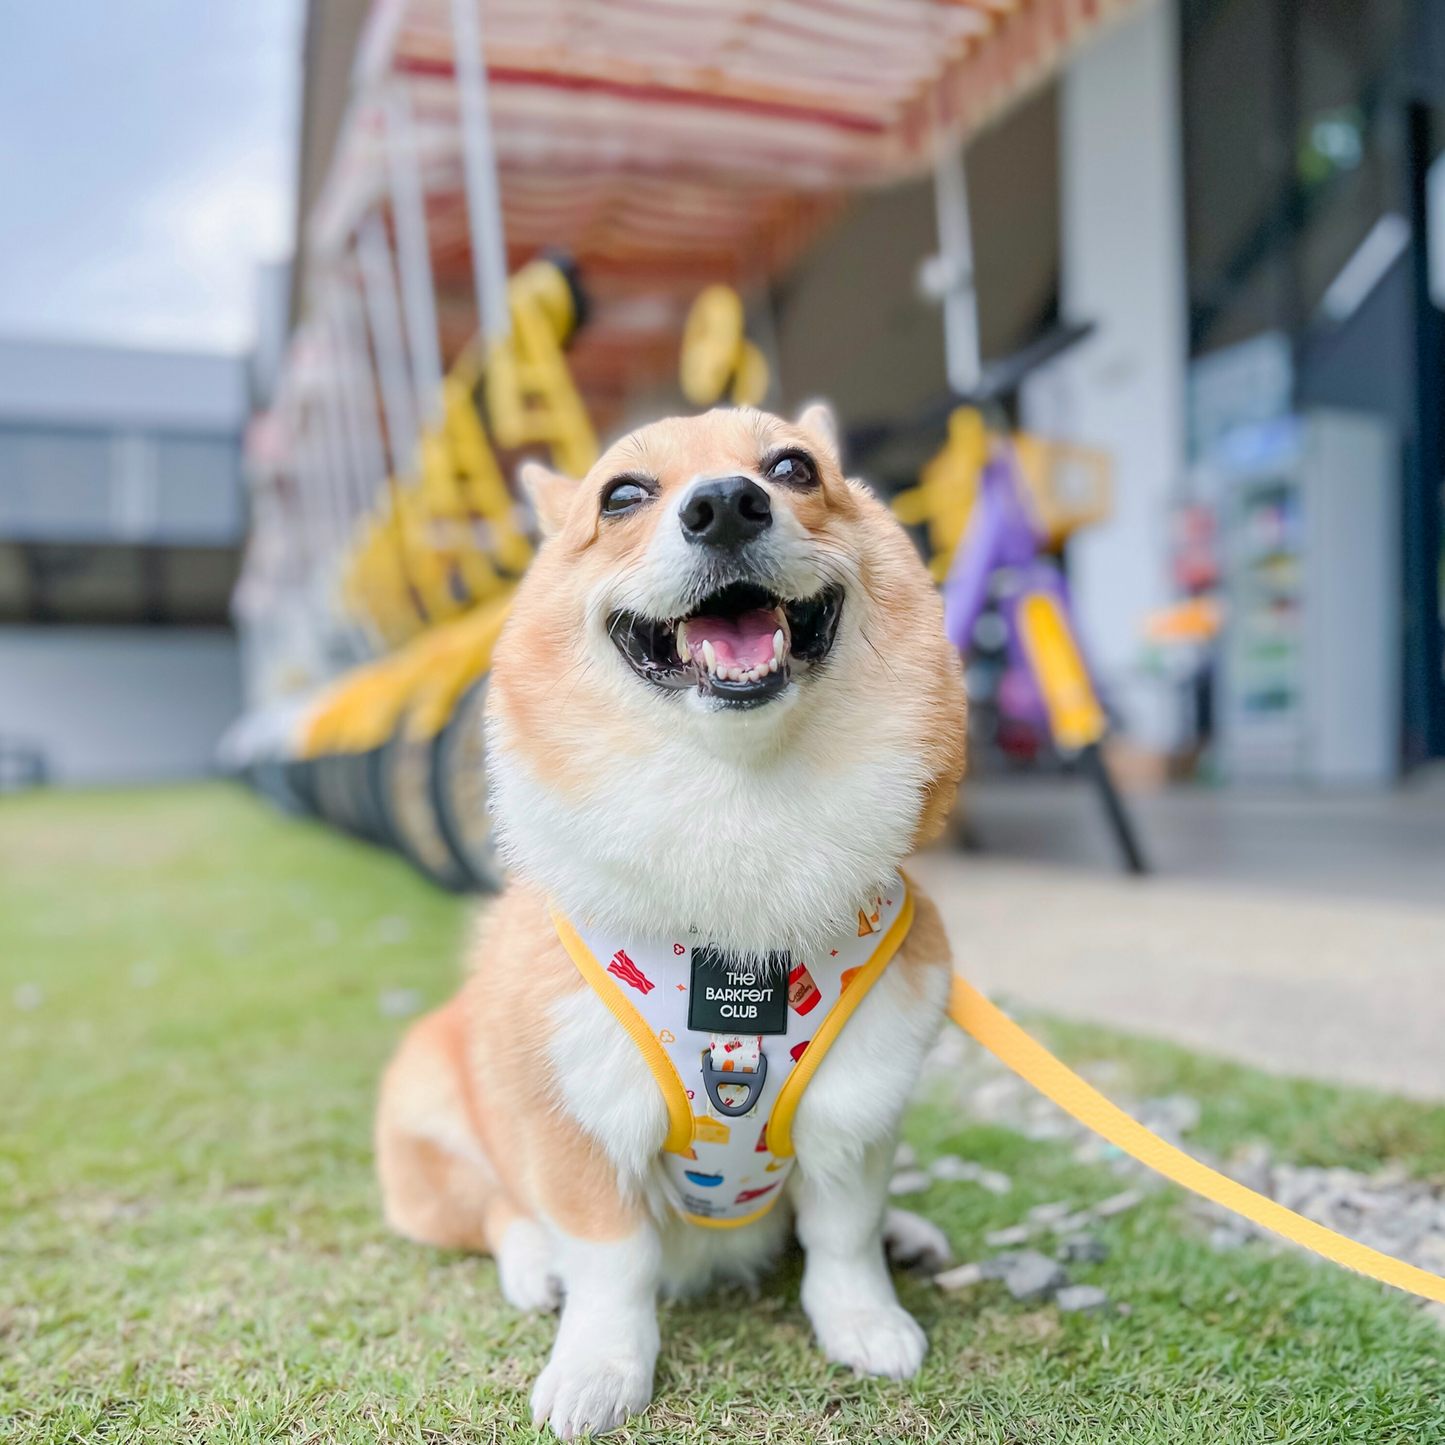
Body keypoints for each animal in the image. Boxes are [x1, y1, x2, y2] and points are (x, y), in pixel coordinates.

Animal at [372, 404, 965, 1433]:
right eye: (621, 495)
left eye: (793, 468)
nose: (726, 503)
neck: (737, 812)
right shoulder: (579, 1122)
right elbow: (612, 1263)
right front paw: (599, 1369)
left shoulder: (856, 1106)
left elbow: (843, 1234)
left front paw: (865, 1321)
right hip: (430, 1120)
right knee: (495, 1211)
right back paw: (535, 1268)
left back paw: (909, 1231)